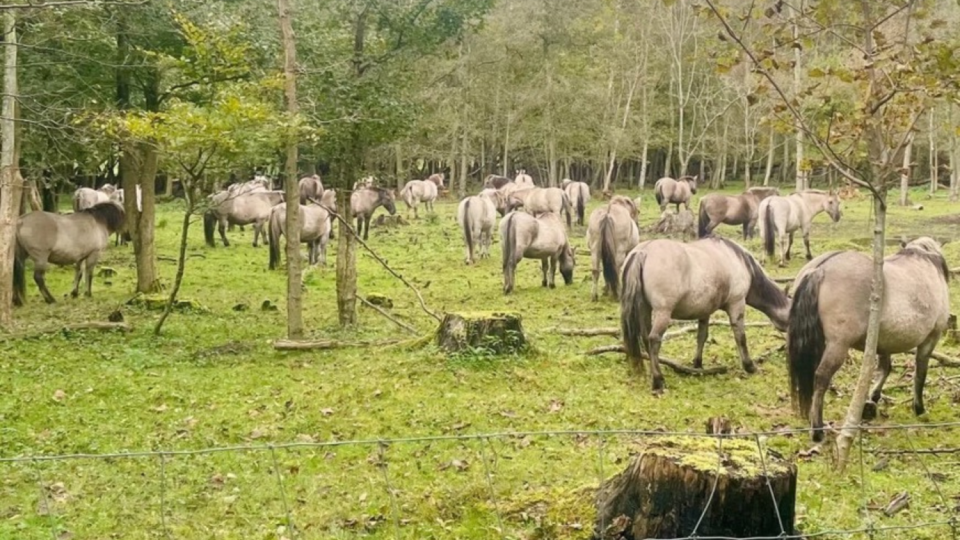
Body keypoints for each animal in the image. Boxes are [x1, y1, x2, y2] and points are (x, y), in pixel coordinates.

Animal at [619, 236, 791, 391]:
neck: (739, 260)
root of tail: (643, 251)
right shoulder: (737, 304)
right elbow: (740, 337)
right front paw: (749, 366)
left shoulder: (704, 311)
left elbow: (701, 336)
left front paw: (698, 365)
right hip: (663, 313)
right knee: (654, 339)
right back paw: (658, 381)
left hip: (645, 309)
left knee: (646, 338)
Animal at [787, 237, 950, 442]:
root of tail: (820, 269)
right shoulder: (931, 338)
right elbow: (920, 373)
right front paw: (919, 408)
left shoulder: (883, 343)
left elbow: (884, 369)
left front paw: (871, 402)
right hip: (838, 345)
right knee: (821, 377)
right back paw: (817, 430)